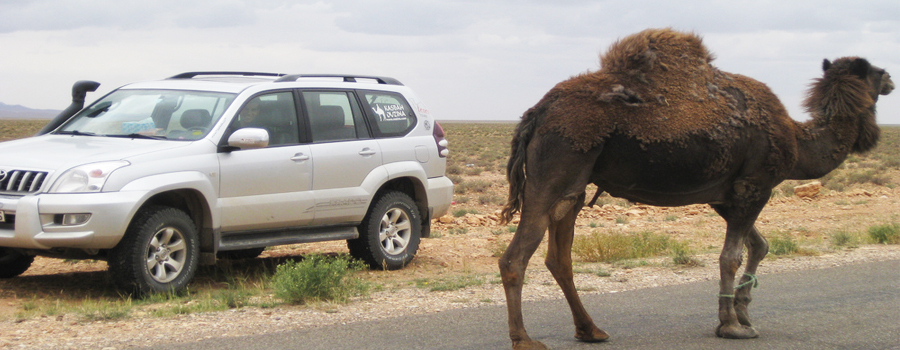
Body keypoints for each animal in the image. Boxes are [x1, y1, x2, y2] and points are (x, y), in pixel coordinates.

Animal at [500, 28, 892, 350]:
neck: (797, 140)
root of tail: (537, 111)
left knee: (559, 257)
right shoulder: (755, 185)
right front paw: (732, 325)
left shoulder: (725, 194)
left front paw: (743, 312)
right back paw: (525, 340)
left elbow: (759, 245)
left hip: (575, 186)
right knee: (516, 256)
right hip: (556, 170)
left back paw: (591, 330)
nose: (890, 77)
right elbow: (731, 256)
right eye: (871, 70)